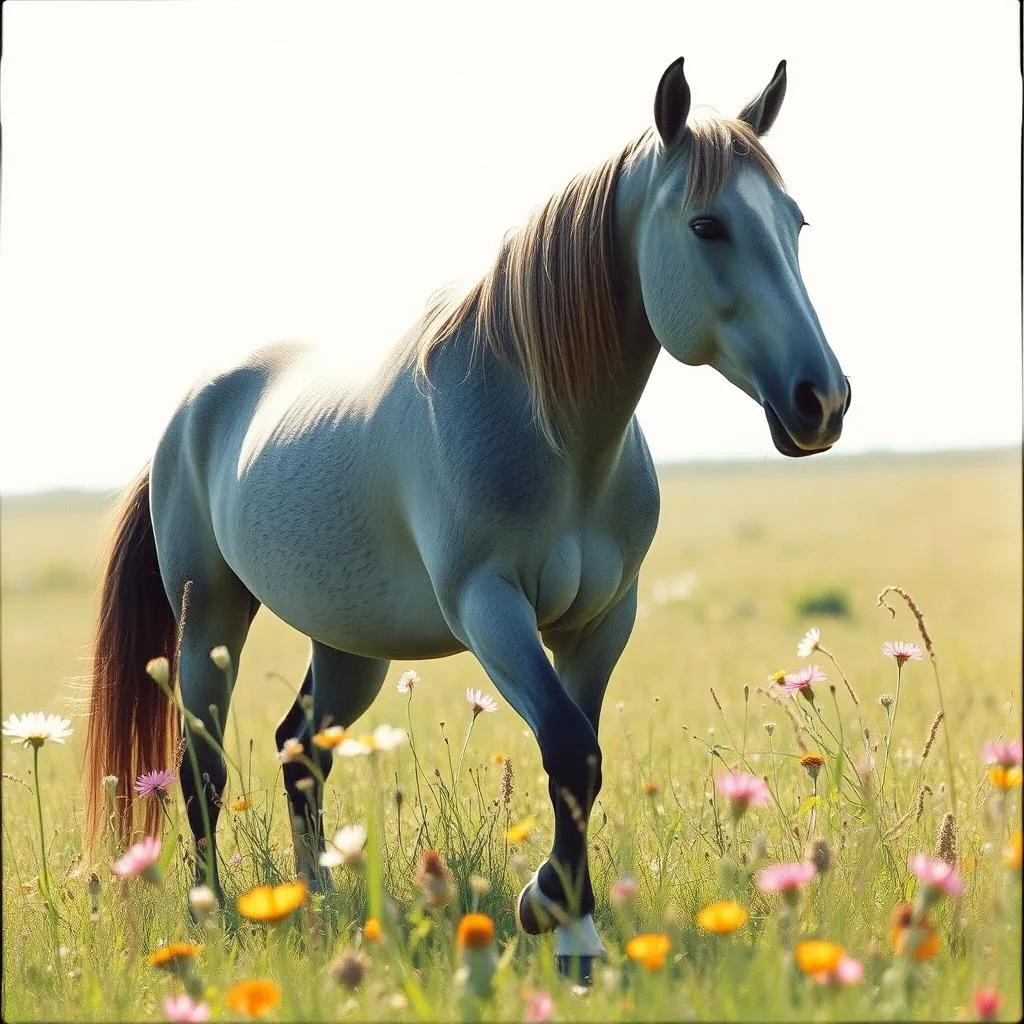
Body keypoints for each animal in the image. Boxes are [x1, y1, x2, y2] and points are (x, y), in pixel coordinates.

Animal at [83, 56, 850, 973]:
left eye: (795, 222)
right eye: (707, 225)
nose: (822, 400)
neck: (550, 430)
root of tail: (194, 405)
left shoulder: (602, 621)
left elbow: (582, 761)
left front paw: (565, 919)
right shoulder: (489, 607)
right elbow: (568, 750)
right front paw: (557, 916)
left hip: (350, 644)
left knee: (300, 751)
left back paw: (316, 901)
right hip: (210, 620)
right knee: (201, 769)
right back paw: (211, 915)